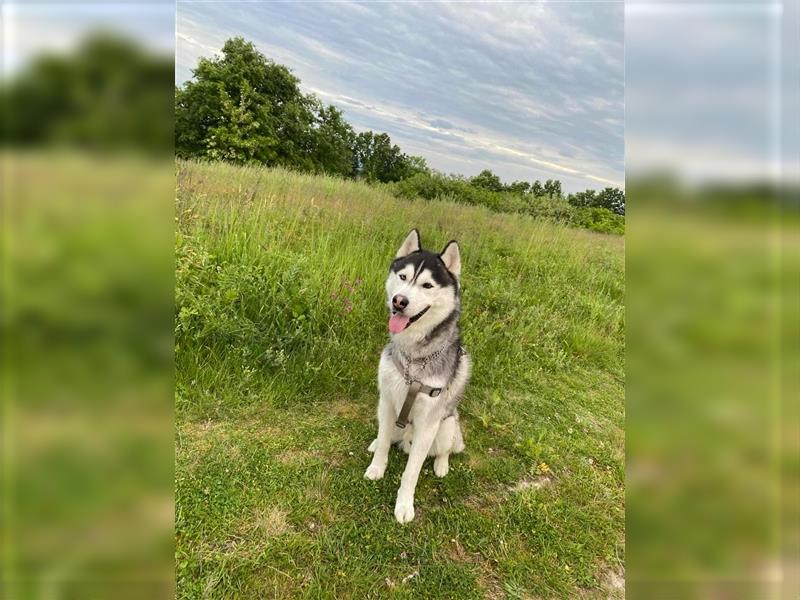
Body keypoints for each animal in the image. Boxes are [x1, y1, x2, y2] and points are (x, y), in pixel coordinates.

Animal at [364, 227, 468, 524]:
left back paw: (442, 465)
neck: (413, 357)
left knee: (446, 449)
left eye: (427, 286)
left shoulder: (428, 423)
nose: (399, 301)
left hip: (447, 426)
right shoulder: (387, 401)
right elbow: (384, 442)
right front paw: (377, 467)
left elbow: (411, 473)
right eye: (403, 277)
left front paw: (404, 505)